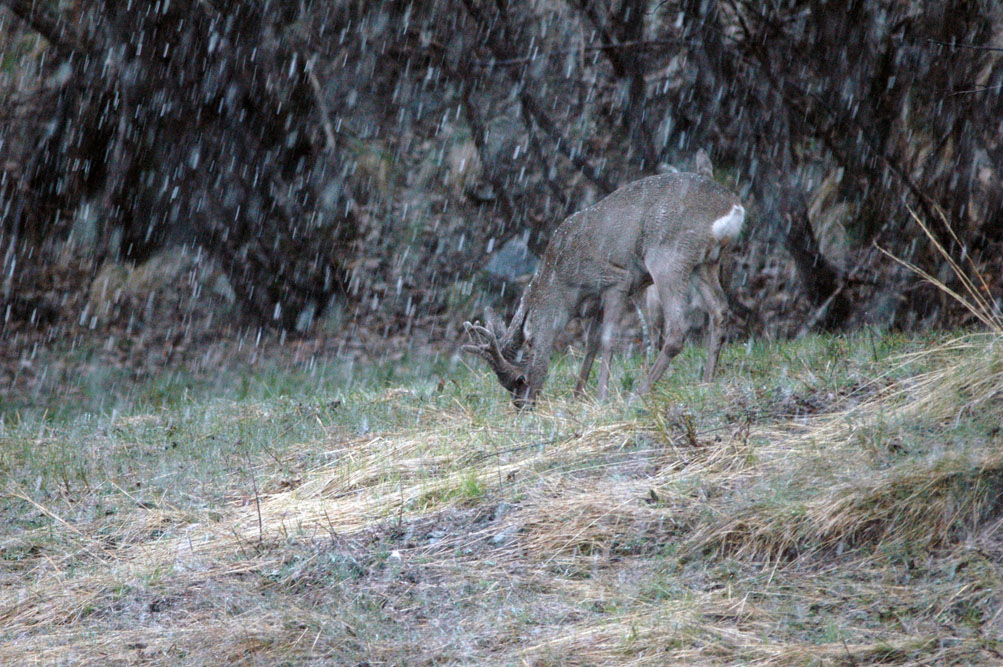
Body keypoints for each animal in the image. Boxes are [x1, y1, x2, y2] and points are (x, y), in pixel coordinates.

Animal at [463, 150, 746, 409]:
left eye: (519, 378)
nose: (522, 403)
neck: (563, 282)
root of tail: (732, 207)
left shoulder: (616, 279)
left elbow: (609, 339)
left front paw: (601, 396)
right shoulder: (596, 297)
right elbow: (591, 341)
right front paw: (577, 396)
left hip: (667, 256)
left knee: (678, 329)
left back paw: (638, 394)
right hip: (704, 263)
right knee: (720, 311)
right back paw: (707, 381)